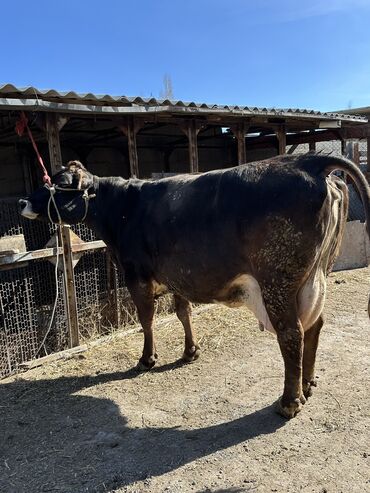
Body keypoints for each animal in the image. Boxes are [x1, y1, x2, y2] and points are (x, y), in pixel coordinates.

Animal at [19, 152, 370, 418]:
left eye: (60, 184)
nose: (24, 200)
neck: (121, 209)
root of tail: (306, 160)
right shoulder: (177, 276)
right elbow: (182, 312)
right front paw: (190, 351)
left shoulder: (136, 274)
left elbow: (147, 319)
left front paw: (147, 359)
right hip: (315, 277)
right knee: (314, 325)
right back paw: (307, 384)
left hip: (278, 281)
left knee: (292, 334)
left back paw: (289, 402)